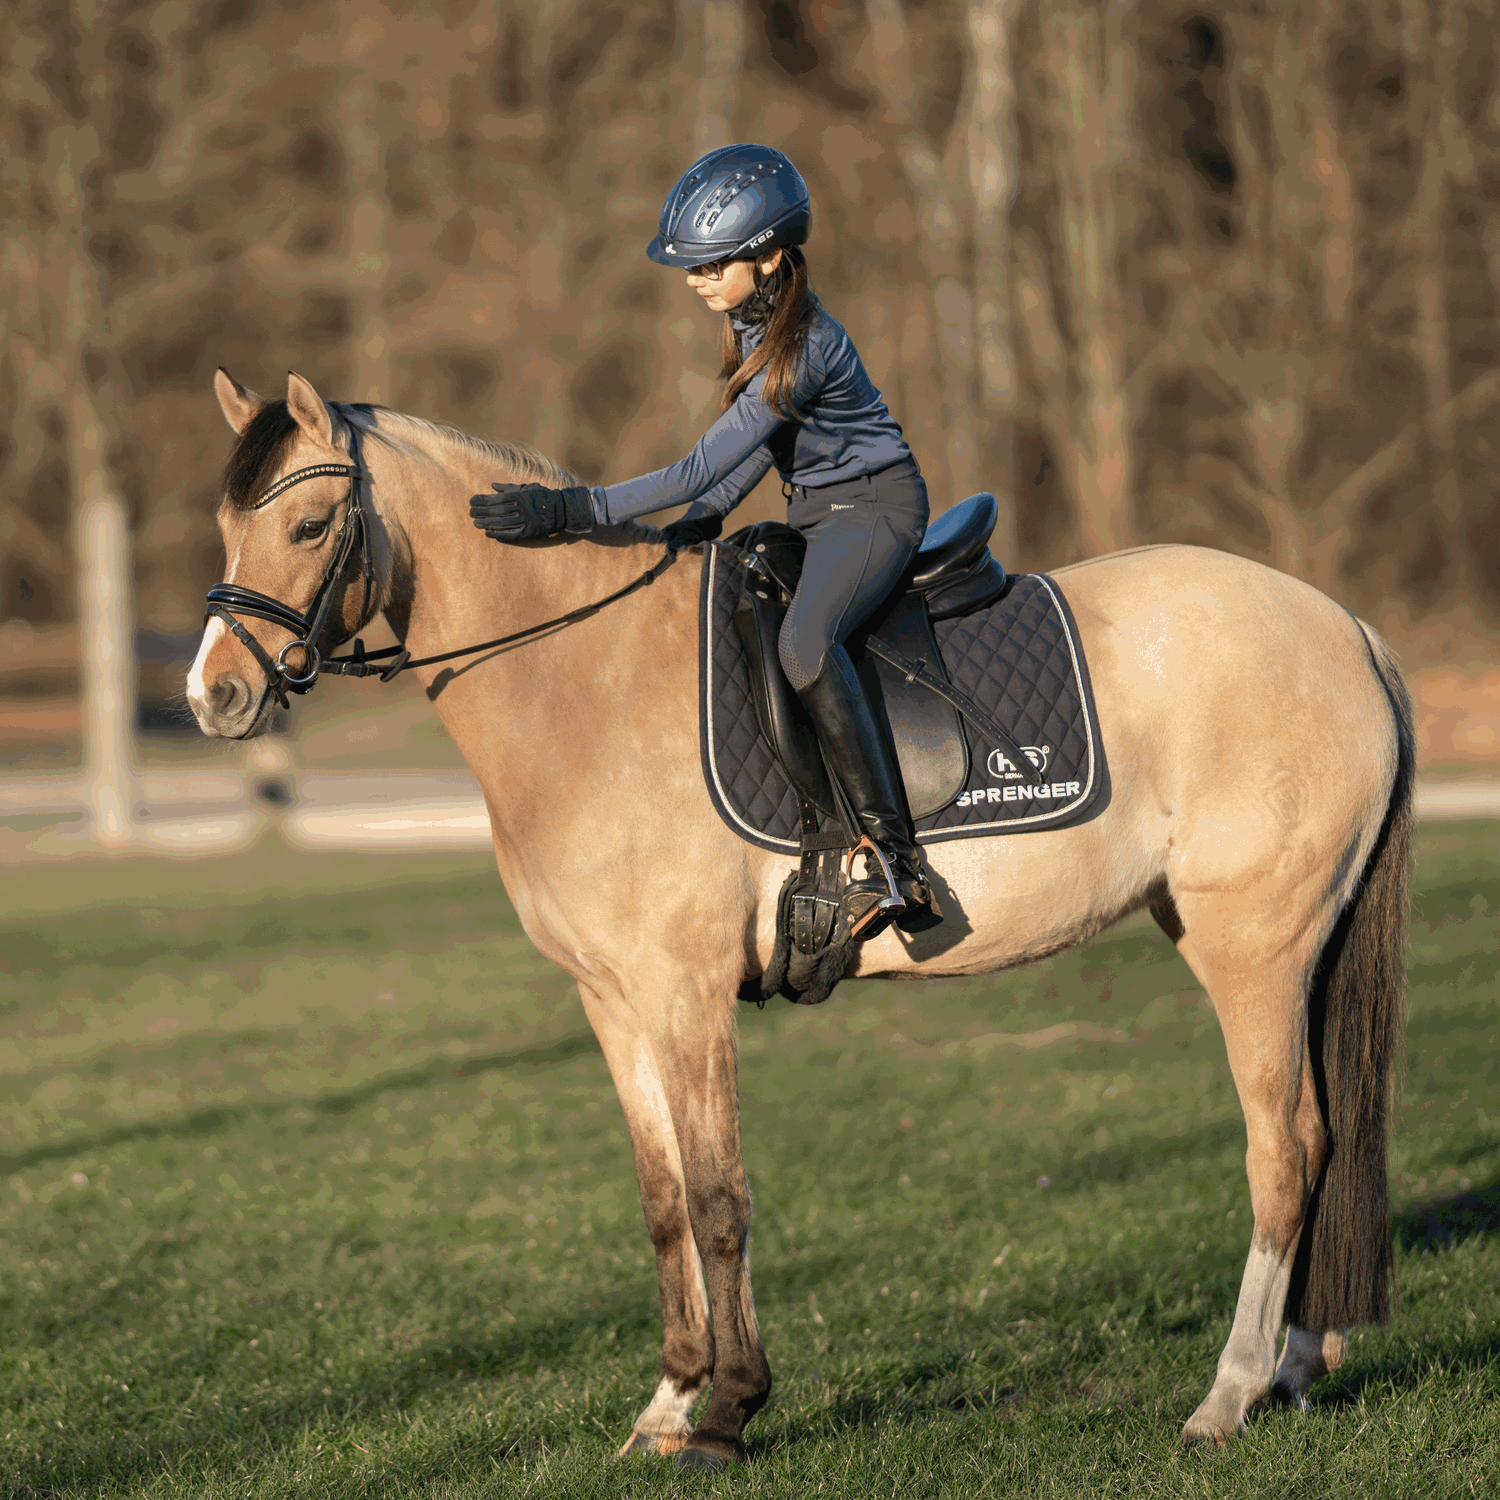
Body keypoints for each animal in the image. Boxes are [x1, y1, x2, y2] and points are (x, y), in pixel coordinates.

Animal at [184, 369, 1404, 1470]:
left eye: (306, 524)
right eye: (228, 526)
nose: (214, 699)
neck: (583, 682)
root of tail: (1344, 626)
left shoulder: (685, 996)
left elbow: (720, 1200)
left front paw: (726, 1414)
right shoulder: (613, 1002)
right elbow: (664, 1202)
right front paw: (667, 1408)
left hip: (1255, 948)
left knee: (1287, 1147)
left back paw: (1229, 1394)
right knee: (1329, 1138)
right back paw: (1296, 1369)